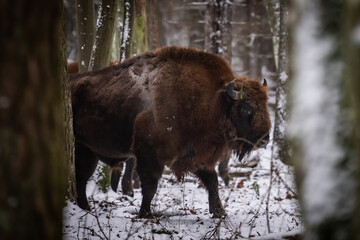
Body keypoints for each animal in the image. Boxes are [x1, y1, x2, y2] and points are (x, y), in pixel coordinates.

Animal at [71, 46, 270, 217]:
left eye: (265, 104)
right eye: (245, 108)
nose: (265, 139)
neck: (212, 101)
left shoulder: (197, 156)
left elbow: (212, 181)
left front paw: (219, 212)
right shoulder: (148, 155)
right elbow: (150, 186)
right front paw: (145, 214)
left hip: (88, 151)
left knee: (81, 179)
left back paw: (85, 208)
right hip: (82, 149)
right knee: (81, 179)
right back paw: (85, 208)